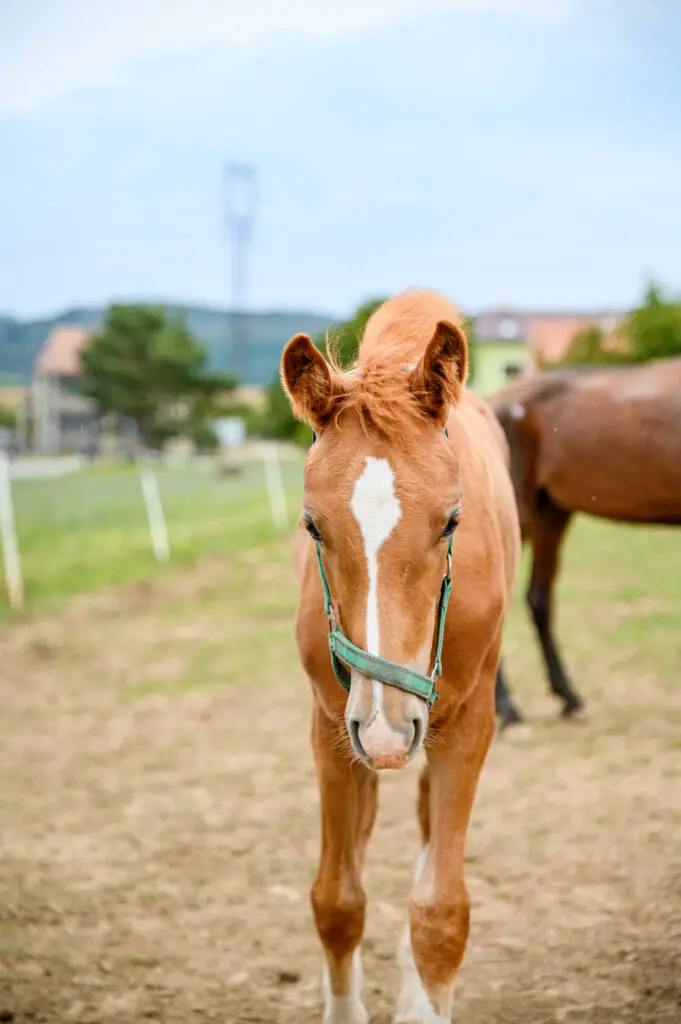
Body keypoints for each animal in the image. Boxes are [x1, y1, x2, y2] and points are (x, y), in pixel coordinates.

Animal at [278, 290, 518, 1024]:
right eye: (311, 525)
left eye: (451, 521)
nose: (386, 729)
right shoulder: (332, 726)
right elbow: (336, 901)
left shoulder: (467, 724)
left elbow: (440, 914)